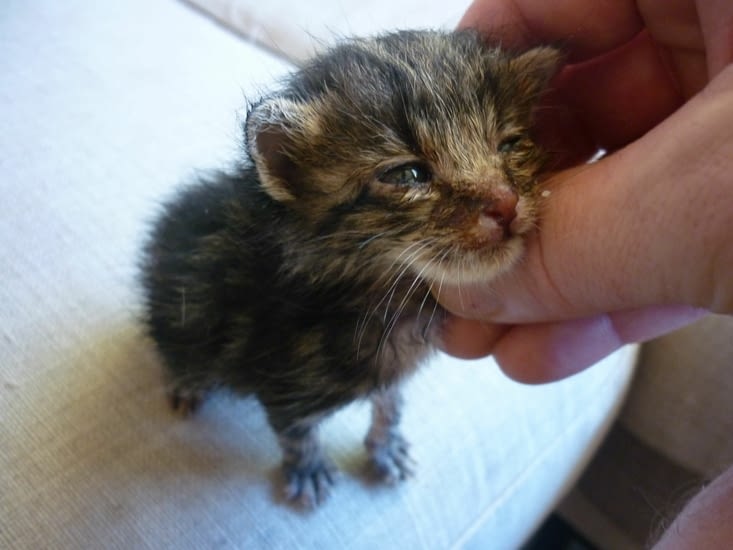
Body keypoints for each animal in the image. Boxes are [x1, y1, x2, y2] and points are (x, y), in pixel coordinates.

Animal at [140, 30, 556, 508]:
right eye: (408, 174)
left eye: (508, 144)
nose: (505, 202)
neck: (387, 298)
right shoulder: (281, 377)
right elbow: (295, 431)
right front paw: (307, 469)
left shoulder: (390, 375)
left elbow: (390, 404)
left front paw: (385, 447)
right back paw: (184, 383)